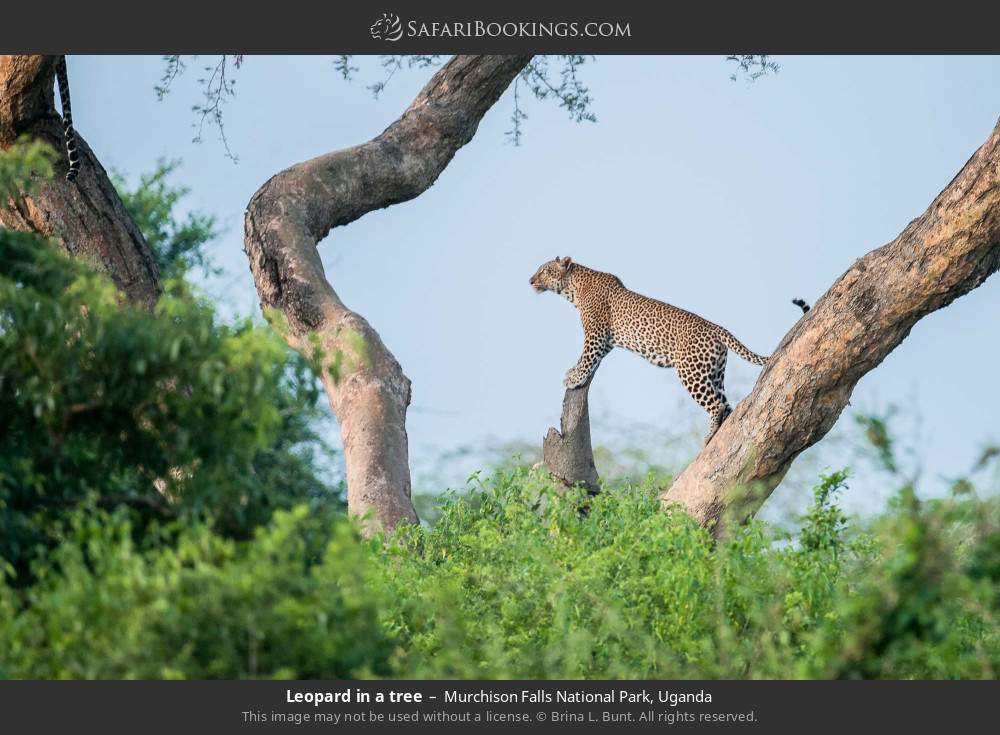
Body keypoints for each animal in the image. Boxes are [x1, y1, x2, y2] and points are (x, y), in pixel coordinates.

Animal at [530, 256, 809, 445]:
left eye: (544, 270)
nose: (530, 280)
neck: (573, 288)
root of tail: (716, 327)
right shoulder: (606, 341)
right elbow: (590, 360)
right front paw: (575, 373)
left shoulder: (596, 335)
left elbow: (587, 357)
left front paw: (574, 377)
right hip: (714, 372)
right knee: (727, 405)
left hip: (690, 372)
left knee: (716, 405)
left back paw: (708, 436)